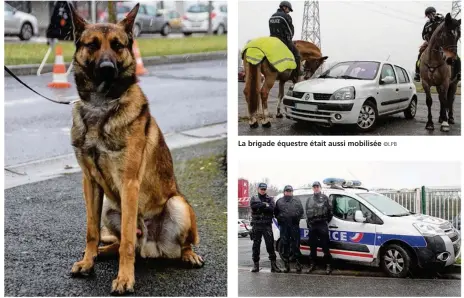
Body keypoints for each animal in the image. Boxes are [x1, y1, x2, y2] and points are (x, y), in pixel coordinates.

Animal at [68, 3, 203, 294]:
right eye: (92, 45)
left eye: (117, 45)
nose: (107, 68)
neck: (101, 106)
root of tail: (152, 248)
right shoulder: (89, 182)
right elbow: (91, 231)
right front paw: (88, 261)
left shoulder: (129, 183)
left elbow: (128, 242)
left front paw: (125, 278)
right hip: (109, 207)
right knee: (118, 240)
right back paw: (102, 251)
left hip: (177, 204)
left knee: (176, 243)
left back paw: (189, 255)